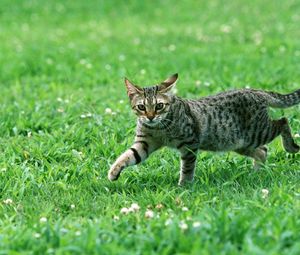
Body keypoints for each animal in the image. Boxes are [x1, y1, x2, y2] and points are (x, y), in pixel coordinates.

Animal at [108, 73, 300, 185]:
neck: (158, 129)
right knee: (263, 150)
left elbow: (187, 168)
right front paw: (113, 172)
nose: (150, 117)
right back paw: (256, 173)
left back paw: (291, 147)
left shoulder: (190, 143)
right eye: (141, 107)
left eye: (159, 106)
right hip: (240, 143)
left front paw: (184, 187)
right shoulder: (144, 143)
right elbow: (128, 155)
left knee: (283, 121)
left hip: (258, 132)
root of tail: (256, 91)